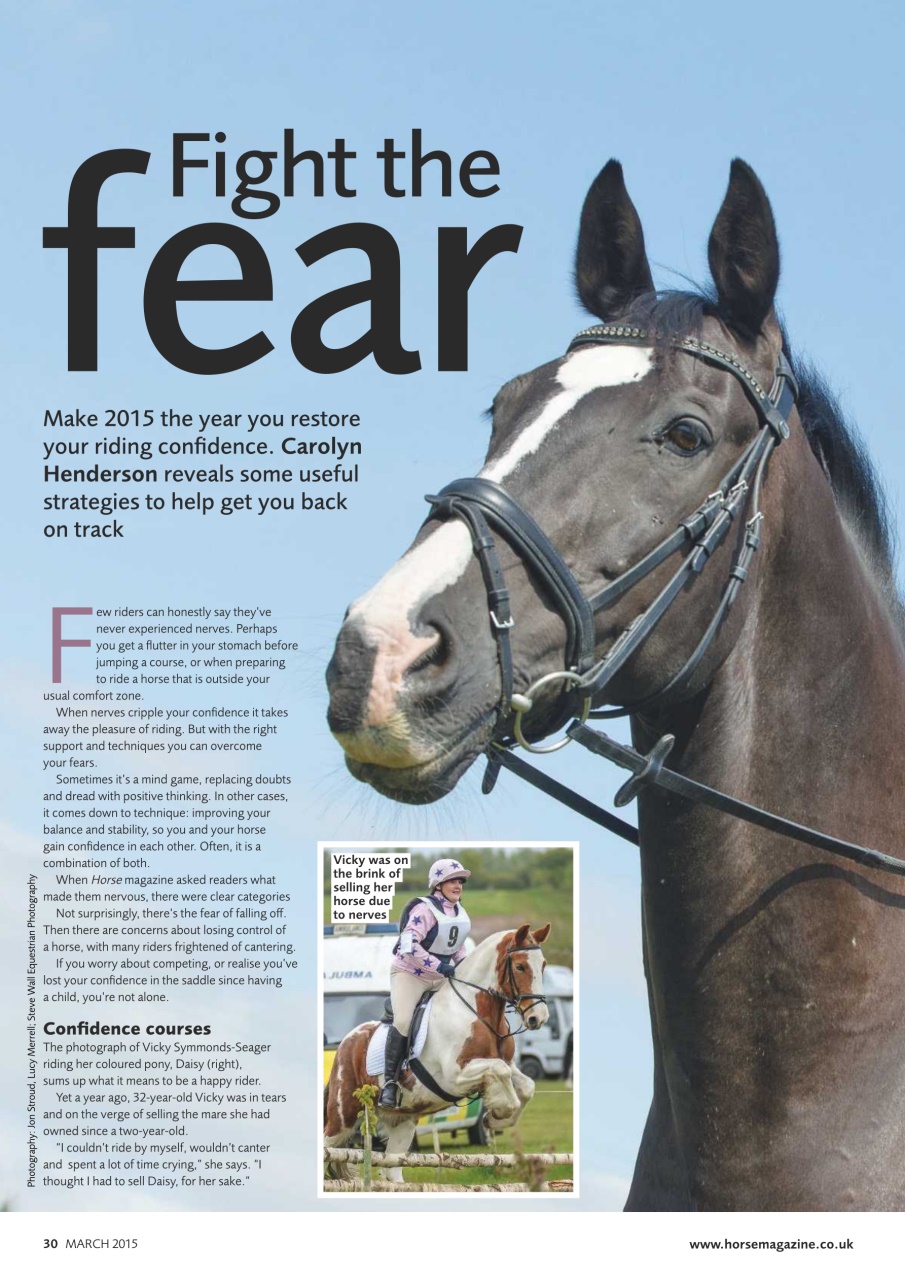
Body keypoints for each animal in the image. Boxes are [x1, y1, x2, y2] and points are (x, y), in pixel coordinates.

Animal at [324, 923, 550, 1179]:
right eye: (520, 966)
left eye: (543, 965)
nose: (538, 1018)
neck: (474, 1009)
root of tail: (346, 1041)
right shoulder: (454, 1077)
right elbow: (501, 1072)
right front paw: (498, 1114)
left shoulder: (506, 1064)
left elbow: (526, 1086)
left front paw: (496, 1120)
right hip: (343, 1115)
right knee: (328, 1145)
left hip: (402, 1121)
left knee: (392, 1167)